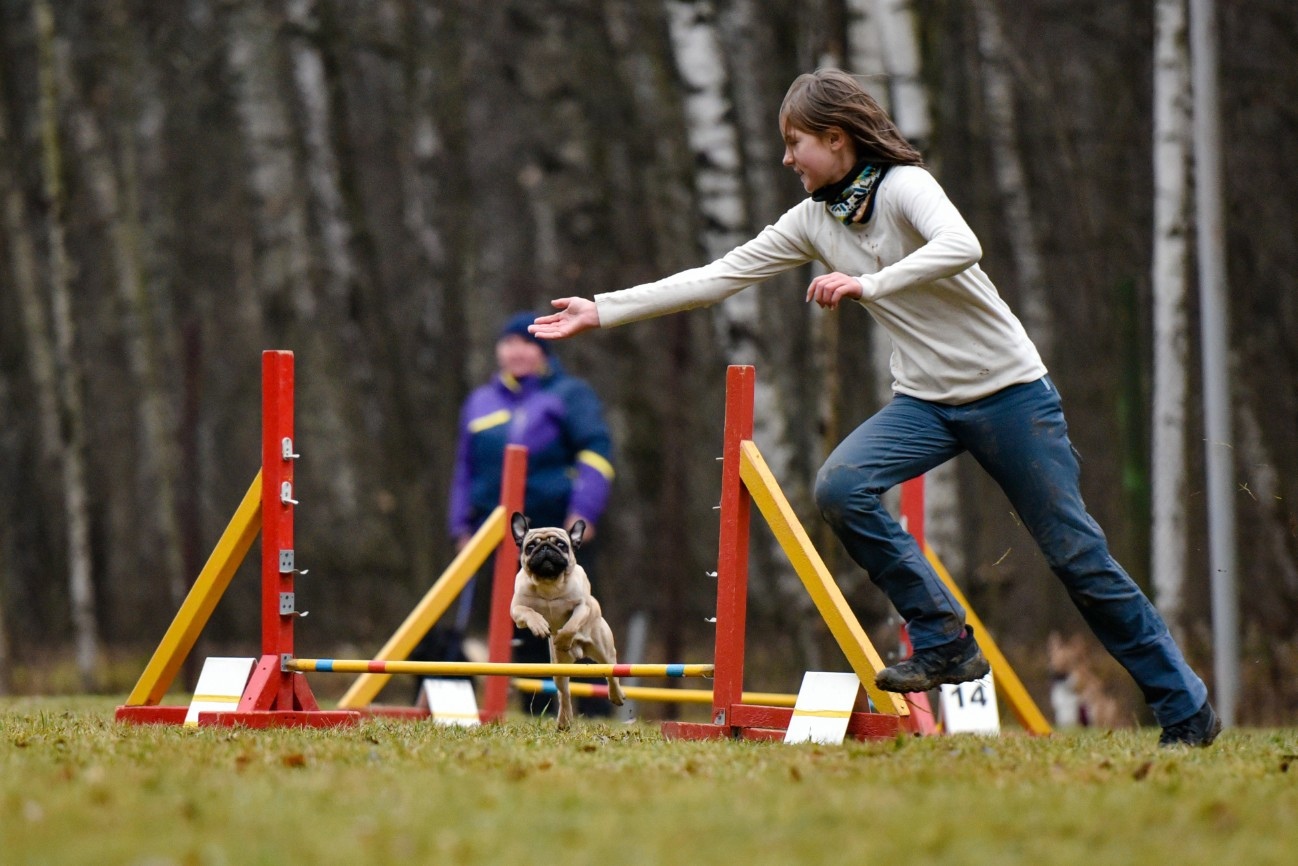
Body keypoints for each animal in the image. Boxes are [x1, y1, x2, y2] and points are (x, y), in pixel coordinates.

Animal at [508, 511, 625, 727]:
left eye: (561, 545)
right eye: (531, 546)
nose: (545, 548)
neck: (549, 583)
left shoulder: (582, 606)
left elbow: (571, 625)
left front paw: (562, 639)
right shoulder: (517, 610)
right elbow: (529, 612)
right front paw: (539, 626)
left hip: (604, 652)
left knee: (611, 675)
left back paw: (617, 695)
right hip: (559, 669)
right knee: (565, 692)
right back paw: (565, 721)